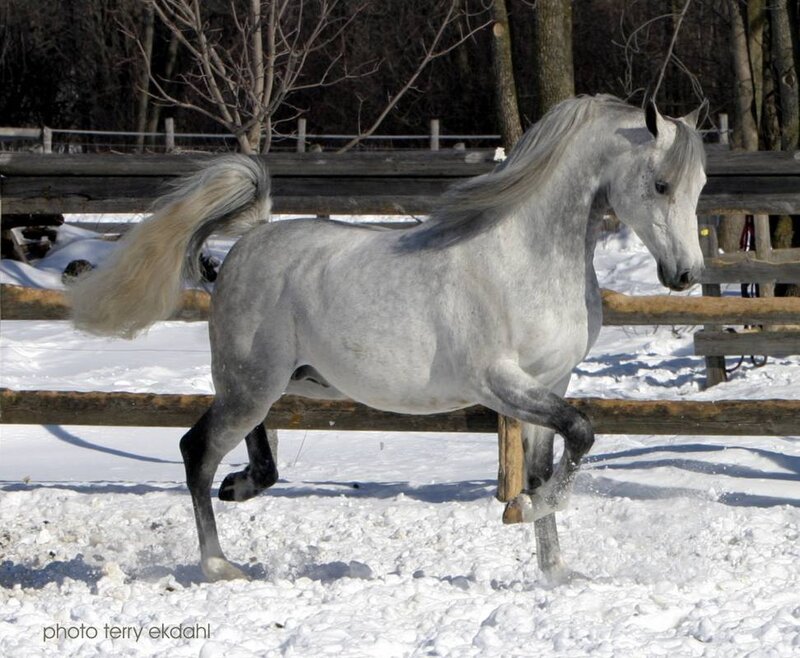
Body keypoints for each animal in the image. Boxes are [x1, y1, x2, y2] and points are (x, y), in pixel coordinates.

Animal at [69, 95, 708, 582]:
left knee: (251, 453)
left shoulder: (552, 380)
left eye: (699, 184)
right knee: (195, 451)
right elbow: (580, 435)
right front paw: (528, 512)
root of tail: (249, 240)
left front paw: (555, 573)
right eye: (660, 184)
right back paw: (220, 564)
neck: (524, 258)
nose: (685, 275)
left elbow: (550, 461)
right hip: (250, 384)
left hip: (270, 384)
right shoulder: (500, 382)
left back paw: (240, 488)